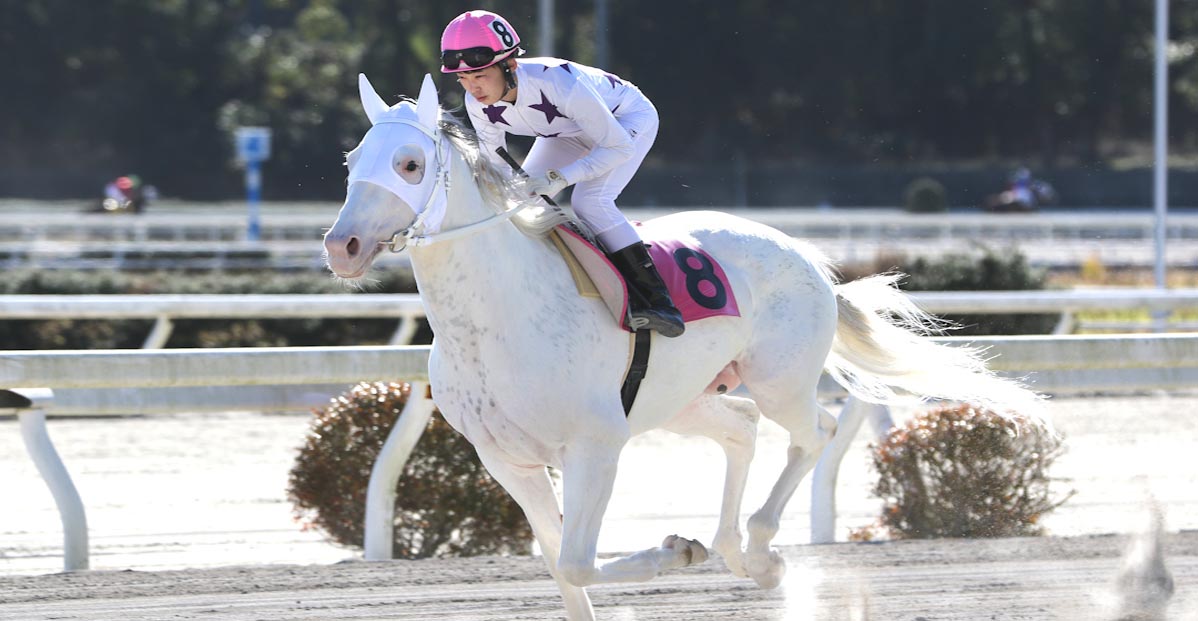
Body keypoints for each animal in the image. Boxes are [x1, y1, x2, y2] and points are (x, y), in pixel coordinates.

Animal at [323, 74, 1044, 621]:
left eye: (410, 164)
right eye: (351, 161)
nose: (341, 246)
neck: (496, 317)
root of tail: (807, 257)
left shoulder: (596, 445)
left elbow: (580, 559)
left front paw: (676, 551)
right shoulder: (508, 460)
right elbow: (560, 564)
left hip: (779, 378)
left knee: (815, 431)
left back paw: (760, 551)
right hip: (683, 398)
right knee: (742, 427)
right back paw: (733, 547)